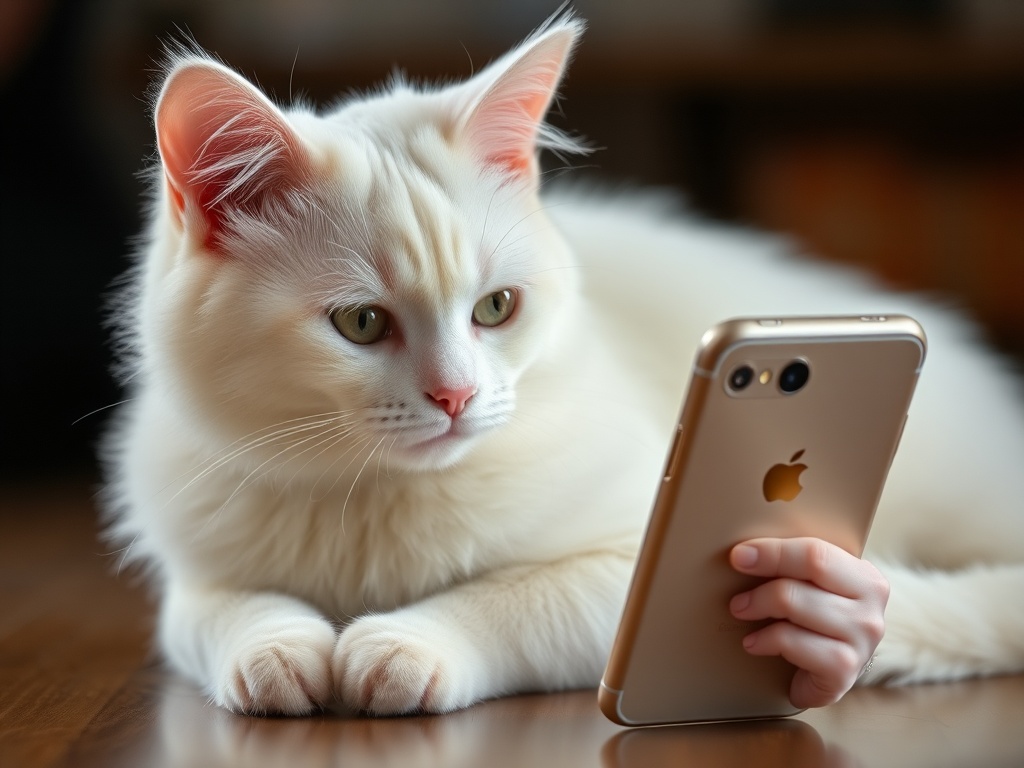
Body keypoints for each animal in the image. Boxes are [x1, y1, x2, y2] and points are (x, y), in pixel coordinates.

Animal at [103, 15, 1024, 720]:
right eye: (361, 324)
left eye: (496, 309)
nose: (457, 395)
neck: (377, 502)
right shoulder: (194, 569)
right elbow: (227, 613)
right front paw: (277, 650)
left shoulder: (629, 561)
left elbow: (515, 600)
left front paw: (406, 643)